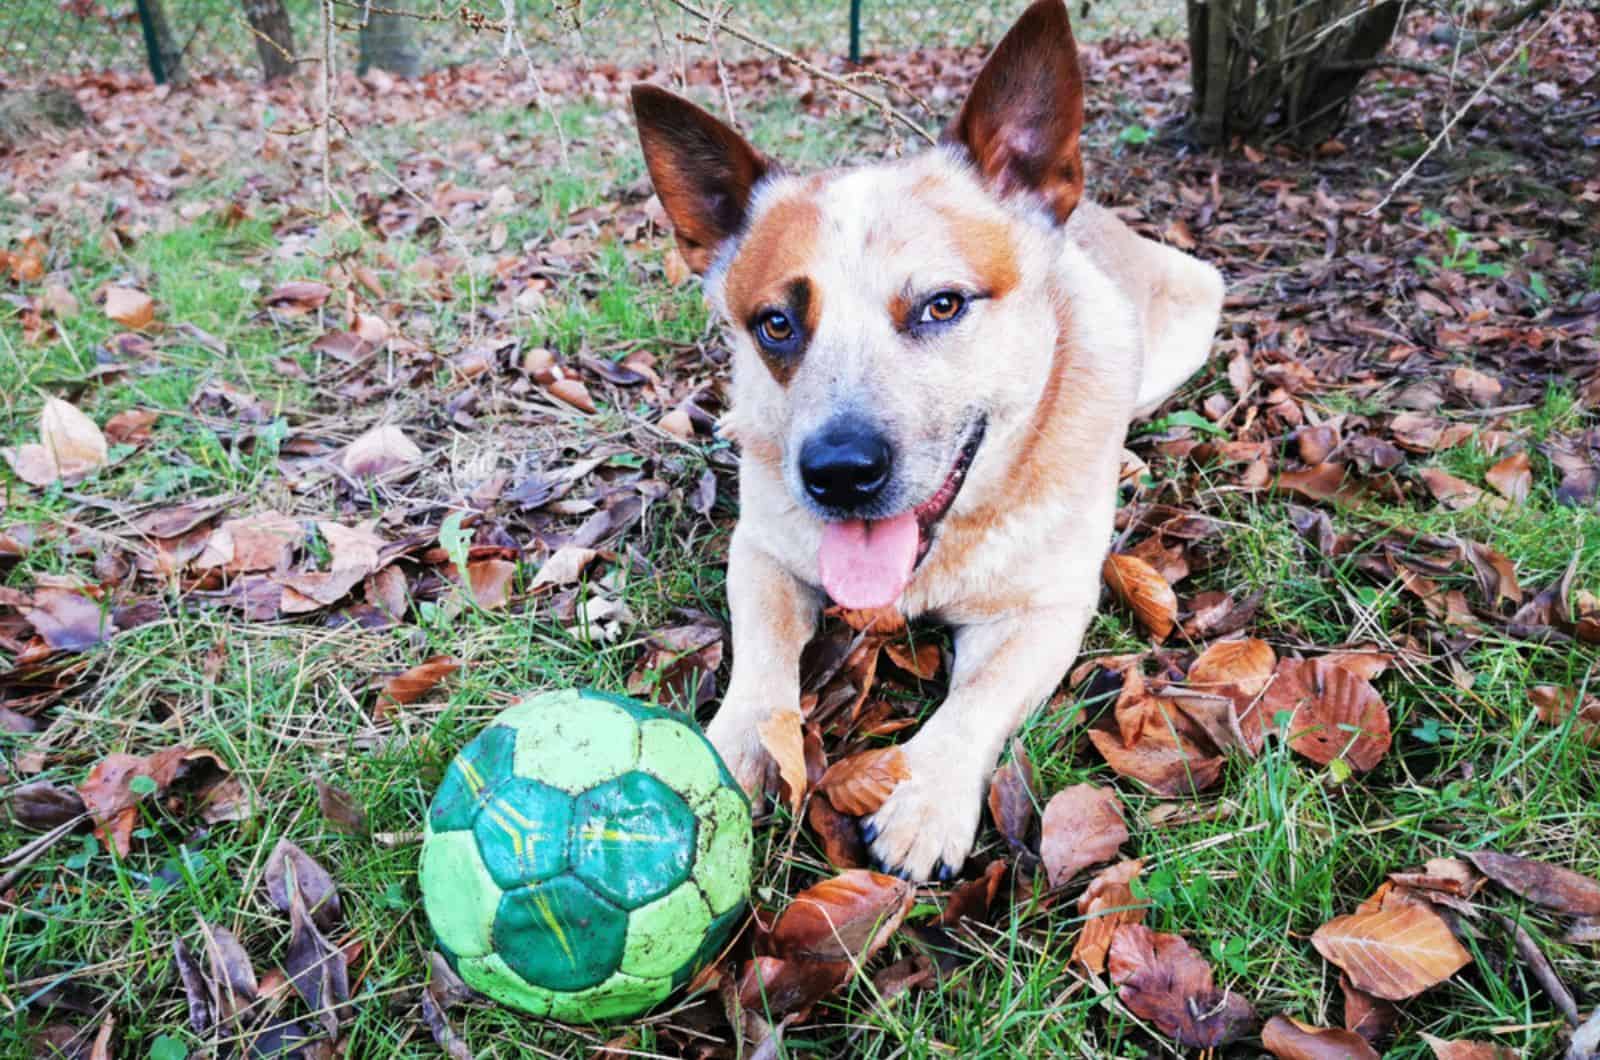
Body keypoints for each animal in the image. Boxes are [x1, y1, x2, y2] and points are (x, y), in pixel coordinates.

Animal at [630, 0, 1216, 877]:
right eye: (776, 323)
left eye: (942, 304)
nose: (839, 473)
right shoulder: (760, 551)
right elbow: (762, 660)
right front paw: (735, 750)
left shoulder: (1047, 609)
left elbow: (979, 696)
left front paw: (929, 795)